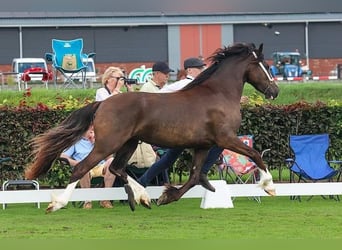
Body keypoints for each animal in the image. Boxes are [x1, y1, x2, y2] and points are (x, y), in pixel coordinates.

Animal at [25, 42, 280, 212]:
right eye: (264, 66)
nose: (275, 91)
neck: (218, 94)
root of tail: (103, 103)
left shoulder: (203, 145)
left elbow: (195, 176)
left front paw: (168, 196)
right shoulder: (225, 138)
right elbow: (255, 154)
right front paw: (269, 186)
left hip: (129, 143)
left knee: (117, 168)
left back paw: (142, 197)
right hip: (108, 144)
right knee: (82, 168)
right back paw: (57, 204)